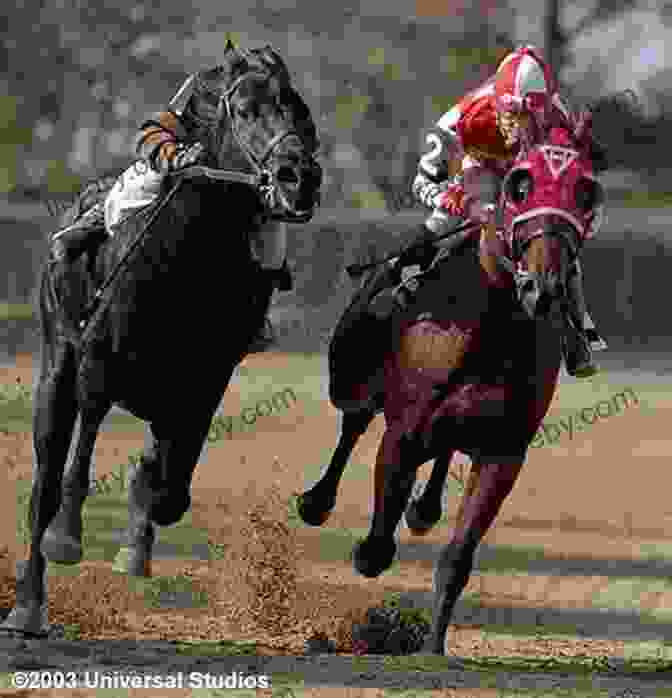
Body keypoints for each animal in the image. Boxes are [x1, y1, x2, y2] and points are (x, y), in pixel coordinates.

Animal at [0, 40, 320, 632]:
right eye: (245, 110)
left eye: (301, 111)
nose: (297, 177)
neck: (188, 262)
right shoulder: (98, 354)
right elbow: (82, 447)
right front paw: (66, 537)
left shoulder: (204, 379)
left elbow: (167, 485)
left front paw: (136, 538)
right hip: (55, 364)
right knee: (46, 479)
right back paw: (28, 606)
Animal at [296, 122, 600, 648]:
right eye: (521, 185)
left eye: (585, 192)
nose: (543, 287)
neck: (492, 322)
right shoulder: (403, 432)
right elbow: (377, 547)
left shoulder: (504, 451)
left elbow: (457, 559)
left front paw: (434, 648)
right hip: (353, 374)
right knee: (354, 422)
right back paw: (317, 501)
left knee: (442, 451)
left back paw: (424, 508)